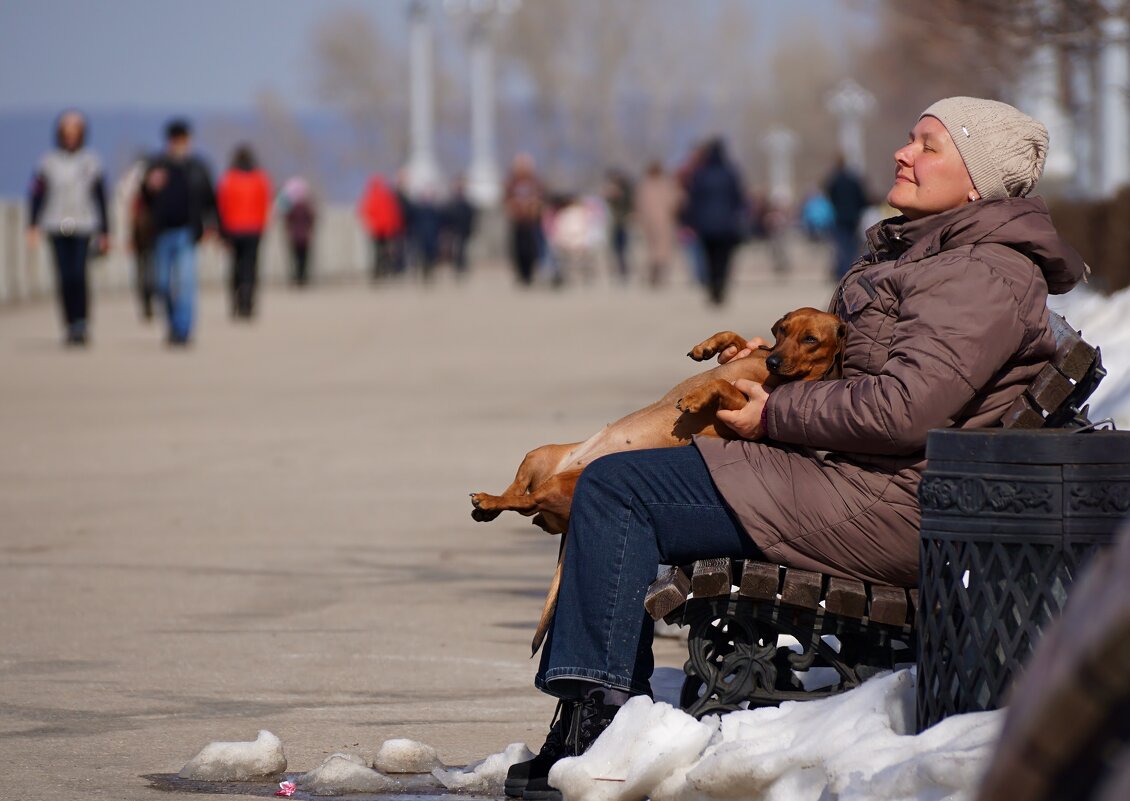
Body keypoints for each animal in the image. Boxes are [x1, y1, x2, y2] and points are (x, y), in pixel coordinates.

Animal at [470, 309, 849, 655]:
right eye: (783, 330)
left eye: (810, 340)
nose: (774, 360)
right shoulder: (753, 354)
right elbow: (736, 339)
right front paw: (708, 347)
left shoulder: (743, 407)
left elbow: (722, 385)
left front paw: (697, 395)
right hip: (539, 454)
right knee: (520, 493)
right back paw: (490, 505)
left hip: (565, 483)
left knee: (526, 503)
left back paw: (488, 501)